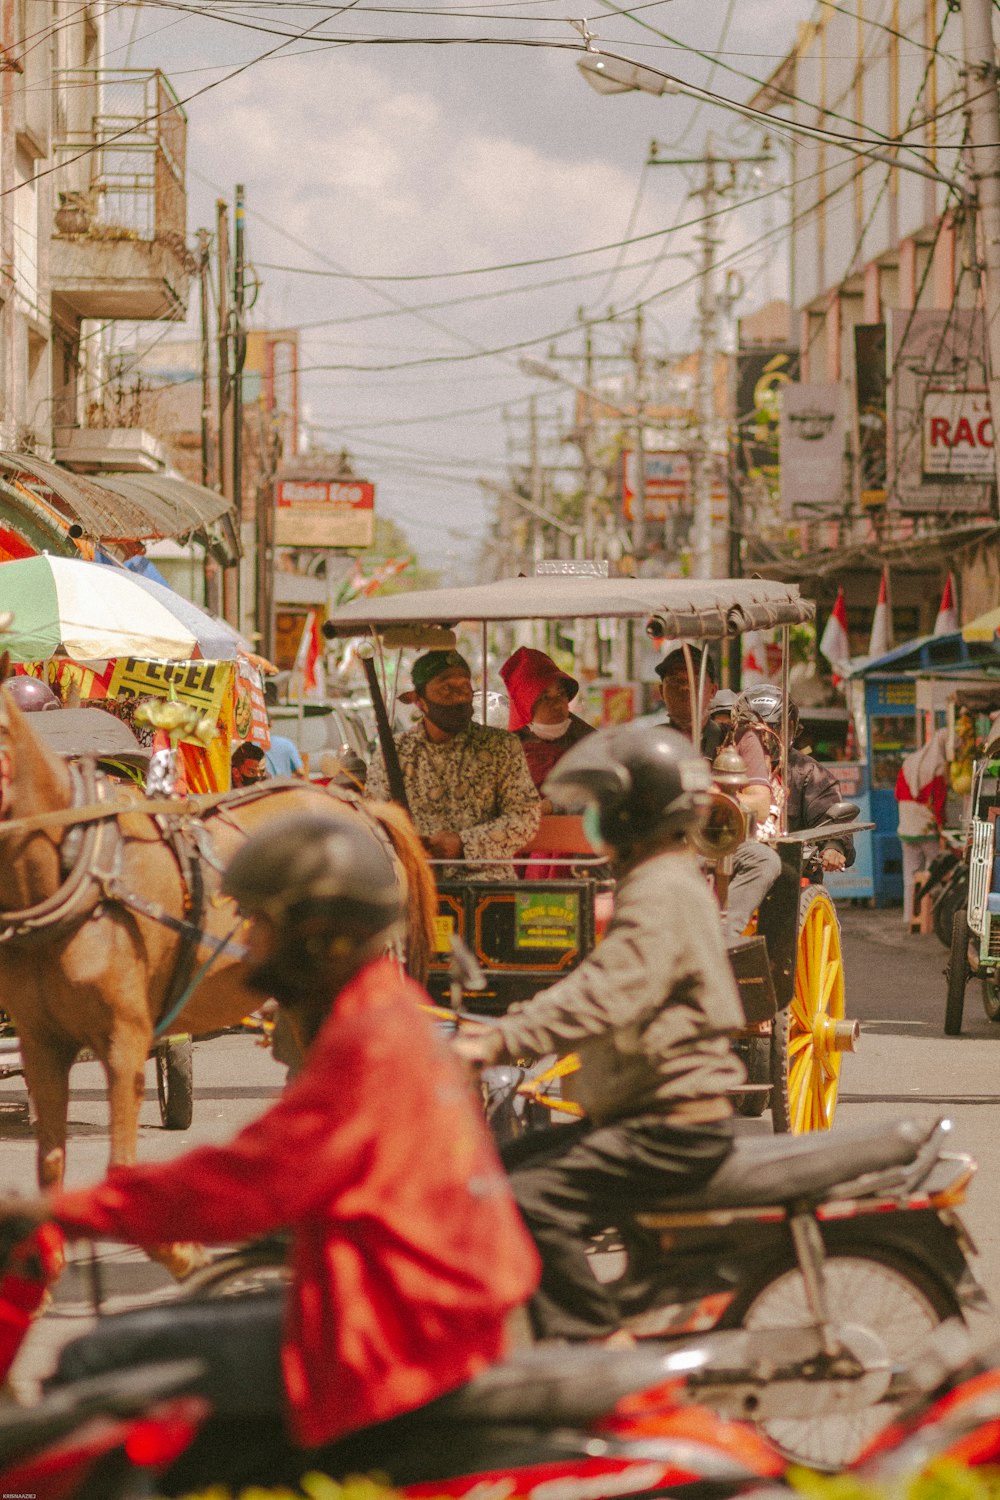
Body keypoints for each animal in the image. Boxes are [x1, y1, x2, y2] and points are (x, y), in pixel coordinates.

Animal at [0, 687, 434, 1212]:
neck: (81, 865)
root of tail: (359, 807)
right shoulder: (41, 1042)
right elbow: (50, 1169)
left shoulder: (124, 1038)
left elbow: (120, 1167)